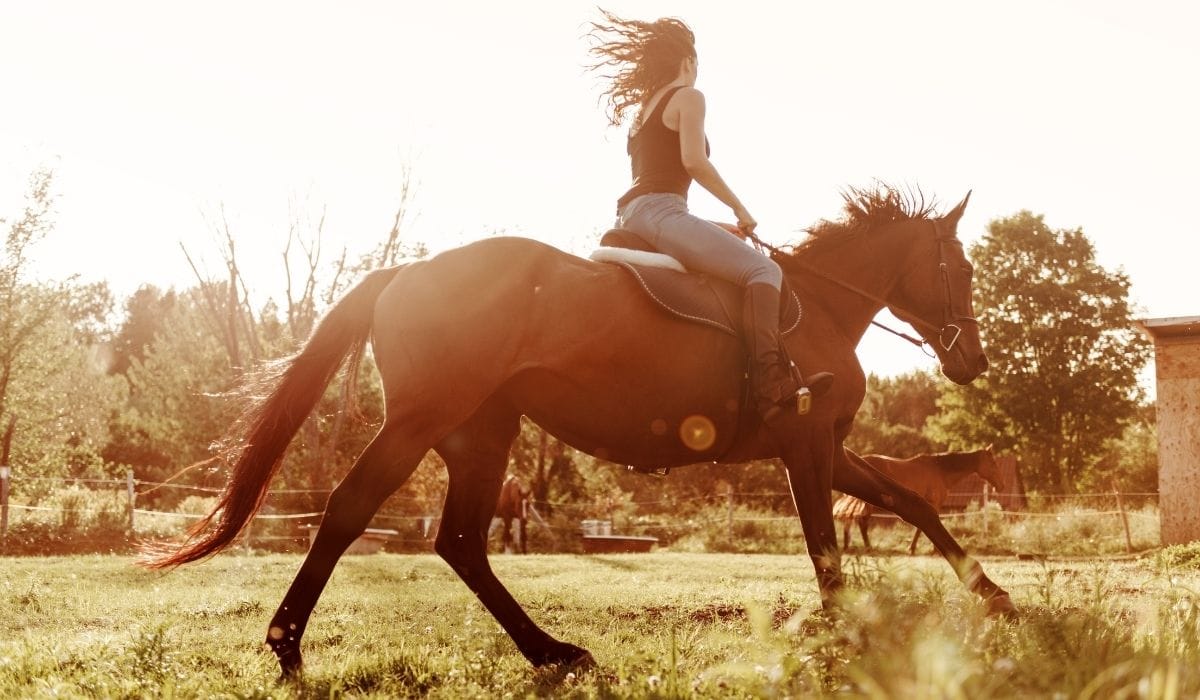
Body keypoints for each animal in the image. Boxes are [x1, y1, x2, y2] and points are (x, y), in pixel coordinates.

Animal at [833, 445, 1006, 553]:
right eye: (993, 462)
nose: (1001, 486)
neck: (941, 470)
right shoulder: (932, 504)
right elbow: (922, 527)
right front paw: (923, 549)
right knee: (862, 522)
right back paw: (868, 547)